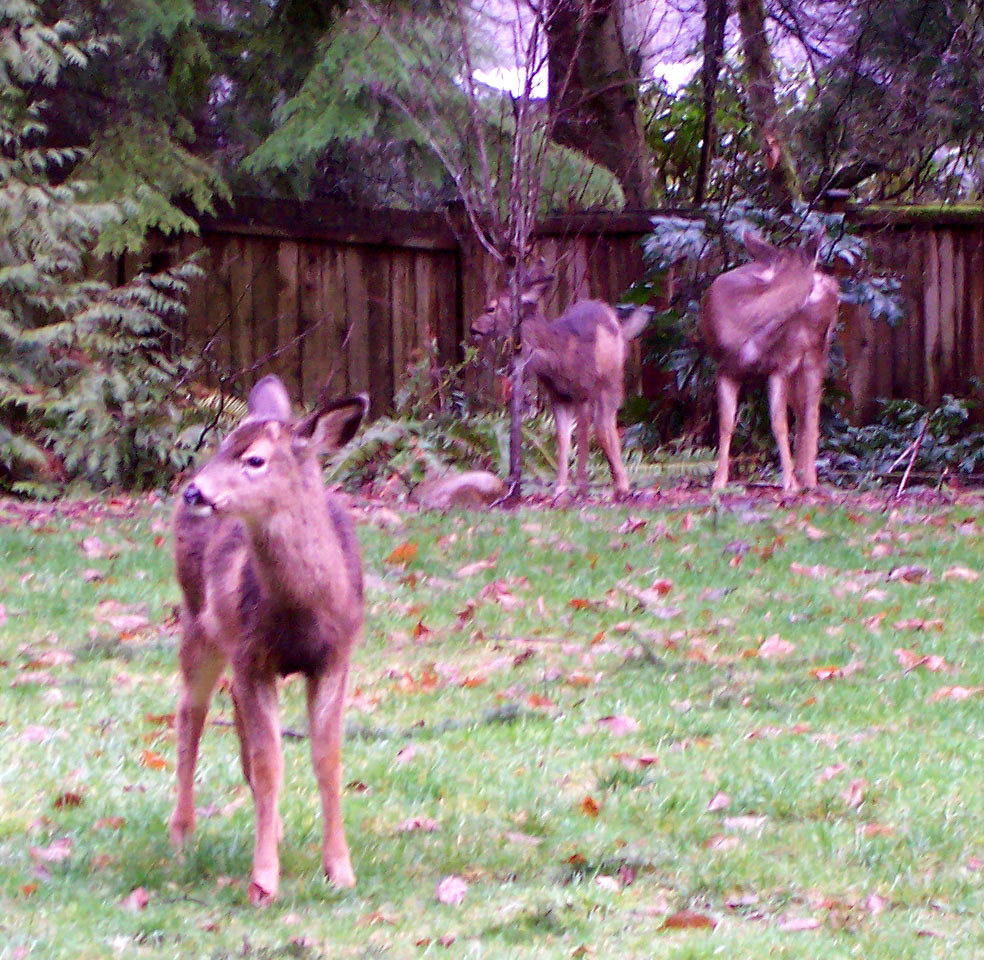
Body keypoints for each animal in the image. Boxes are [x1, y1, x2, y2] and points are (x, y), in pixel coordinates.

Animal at [169, 374, 368, 906]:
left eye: (254, 459)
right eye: (221, 446)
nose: (194, 490)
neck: (301, 611)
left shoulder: (335, 656)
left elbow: (327, 758)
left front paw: (340, 869)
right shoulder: (252, 656)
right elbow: (269, 763)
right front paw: (263, 881)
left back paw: (272, 826)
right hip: (200, 622)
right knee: (191, 713)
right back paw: (182, 833)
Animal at [470, 259, 650, 500]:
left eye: (491, 308)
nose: (473, 328)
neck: (557, 357)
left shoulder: (583, 391)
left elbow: (583, 439)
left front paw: (581, 489)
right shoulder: (558, 397)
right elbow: (563, 441)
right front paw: (561, 491)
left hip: (611, 381)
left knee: (605, 426)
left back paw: (622, 486)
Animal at [701, 230, 840, 492]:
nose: (831, 291)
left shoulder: (779, 367)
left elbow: (779, 424)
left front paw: (789, 483)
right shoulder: (724, 368)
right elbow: (725, 423)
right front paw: (719, 481)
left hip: (816, 352)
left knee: (811, 411)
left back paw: (808, 479)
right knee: (802, 410)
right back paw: (802, 474)